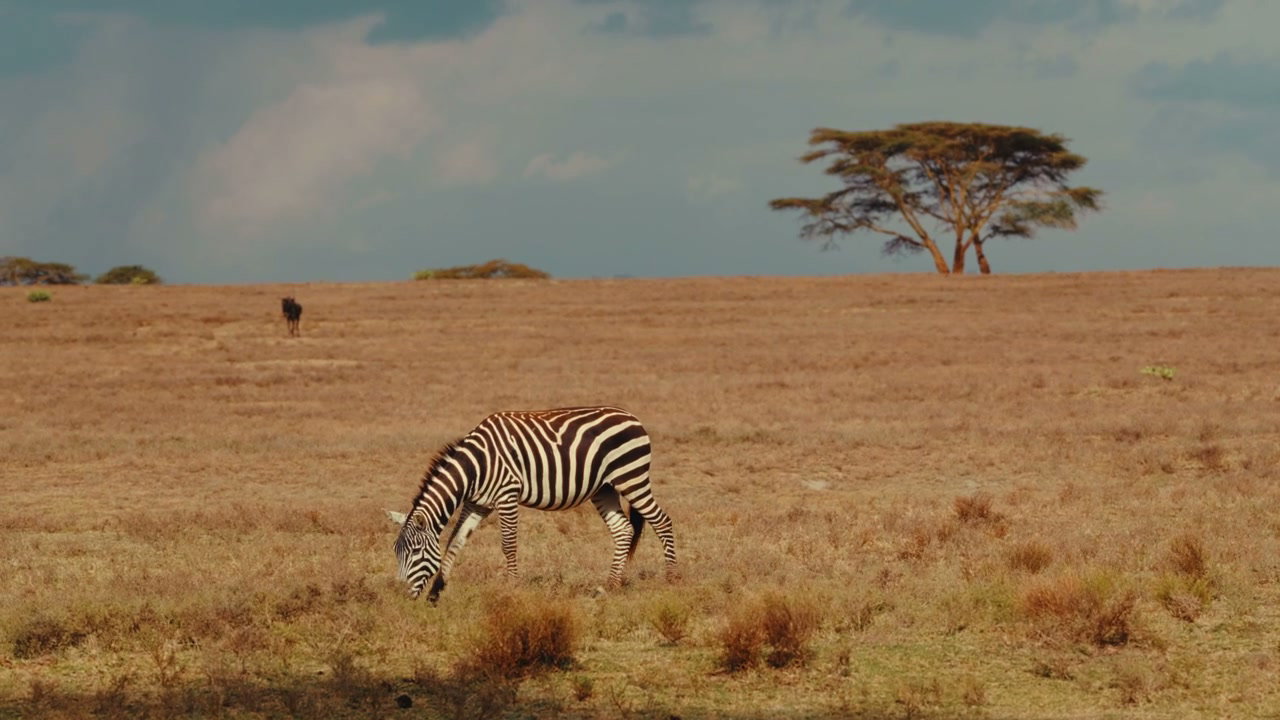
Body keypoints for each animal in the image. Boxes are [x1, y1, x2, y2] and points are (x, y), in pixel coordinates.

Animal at [388, 406, 677, 602]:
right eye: (396, 552)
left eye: (415, 551)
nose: (401, 595)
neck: (476, 467)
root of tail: (632, 417)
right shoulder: (477, 504)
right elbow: (455, 542)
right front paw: (436, 593)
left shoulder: (507, 495)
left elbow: (508, 545)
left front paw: (512, 587)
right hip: (604, 488)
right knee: (624, 530)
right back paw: (608, 586)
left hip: (631, 477)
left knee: (662, 522)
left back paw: (671, 580)